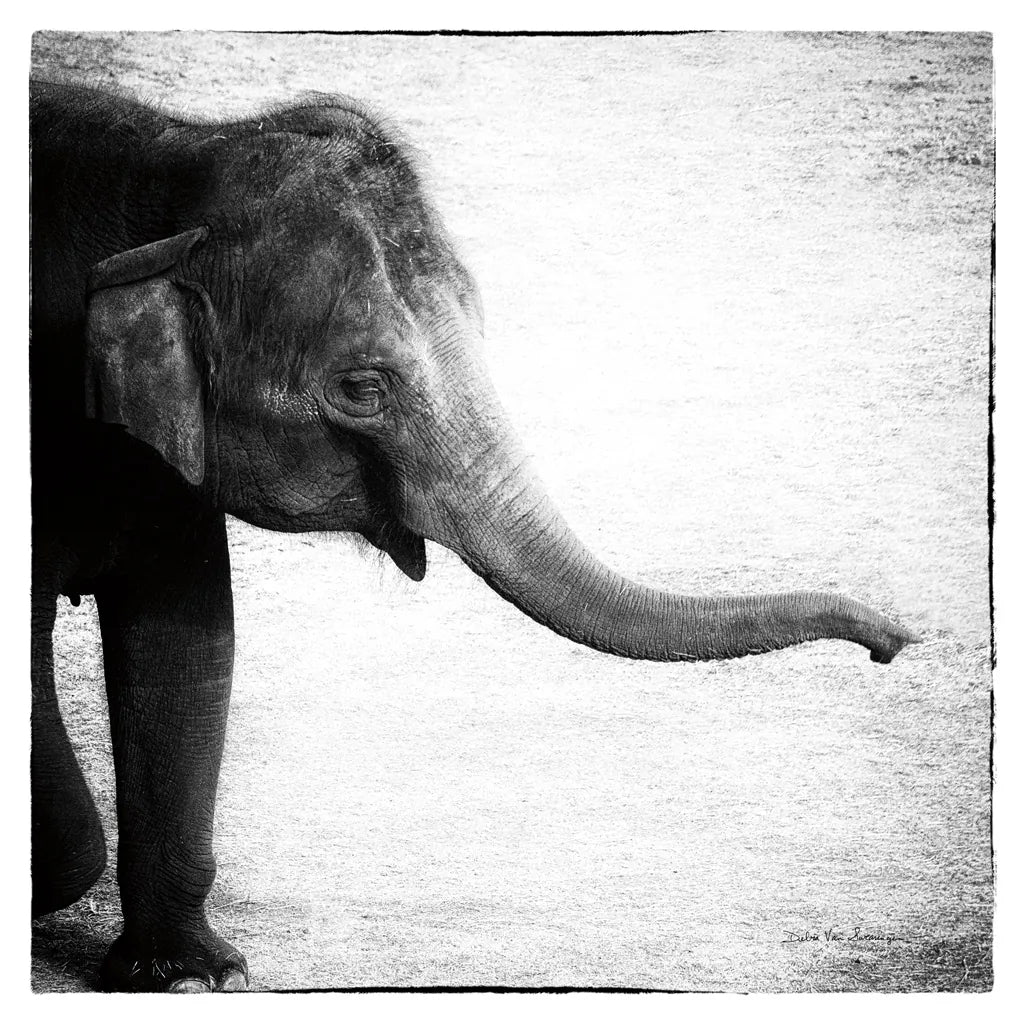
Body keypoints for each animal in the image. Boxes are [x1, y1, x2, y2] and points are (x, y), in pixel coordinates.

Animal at [30, 77, 919, 993]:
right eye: (362, 387)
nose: (898, 642)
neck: (174, 161)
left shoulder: (170, 463)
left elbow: (188, 645)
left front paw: (192, 977)